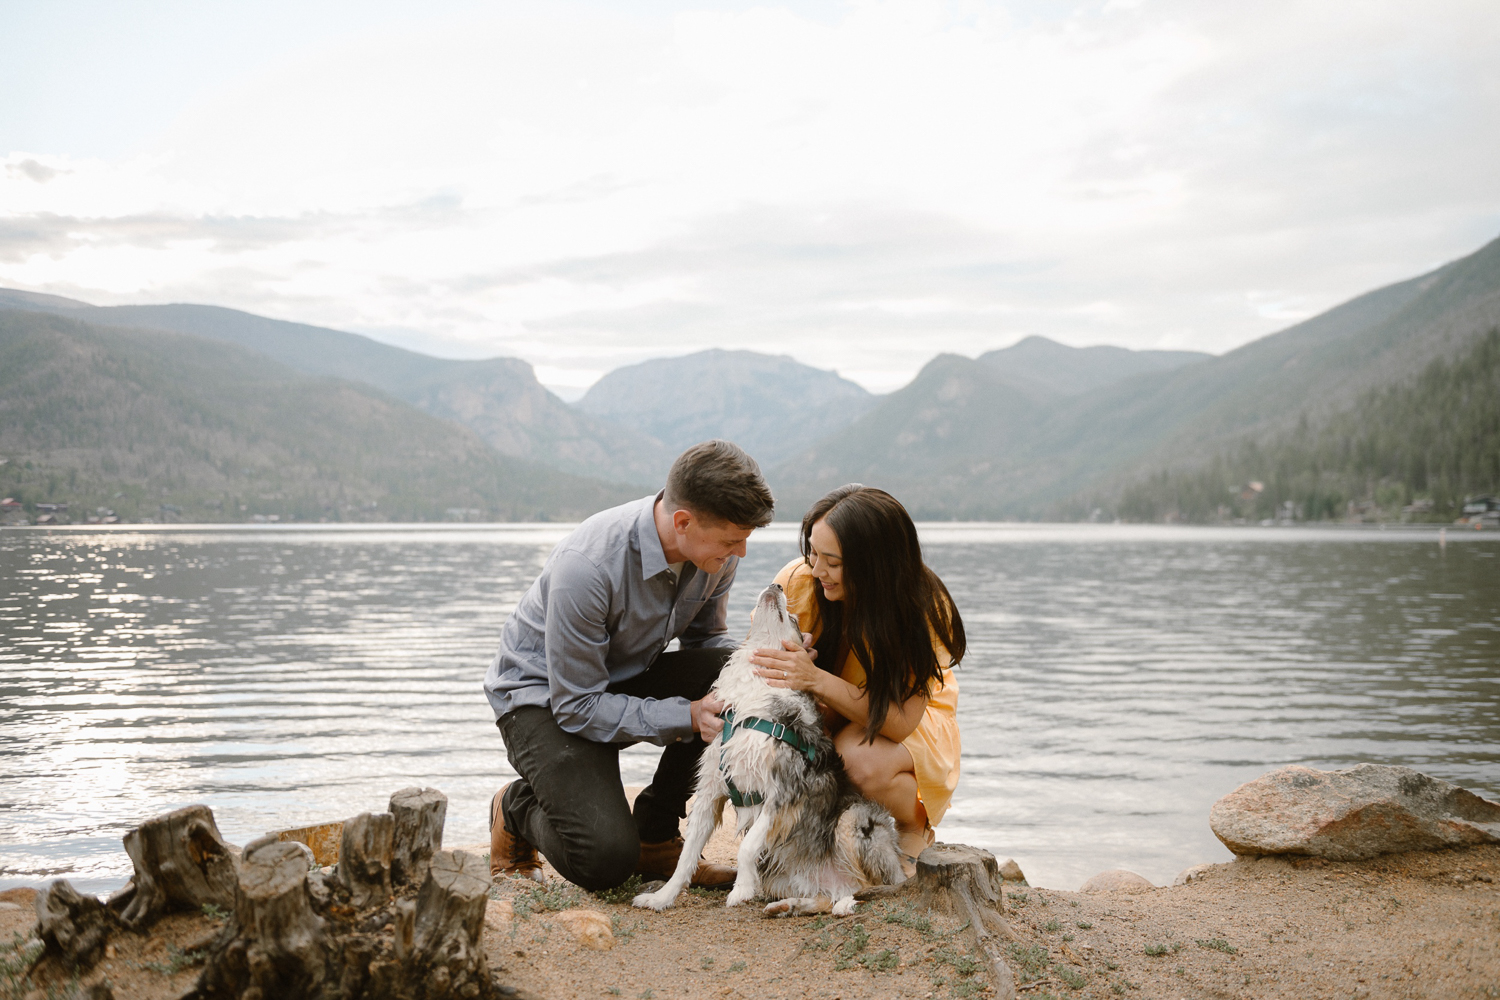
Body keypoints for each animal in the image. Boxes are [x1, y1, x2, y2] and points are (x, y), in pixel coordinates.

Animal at [633, 581, 900, 917]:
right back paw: (788, 905)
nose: (776, 584)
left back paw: (846, 903)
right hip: (786, 874)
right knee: (827, 896)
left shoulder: (785, 791)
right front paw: (660, 898)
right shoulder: (710, 791)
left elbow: (747, 848)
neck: (755, 692)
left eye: (795, 620)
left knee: (870, 887)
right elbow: (686, 858)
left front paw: (741, 890)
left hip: (854, 818)